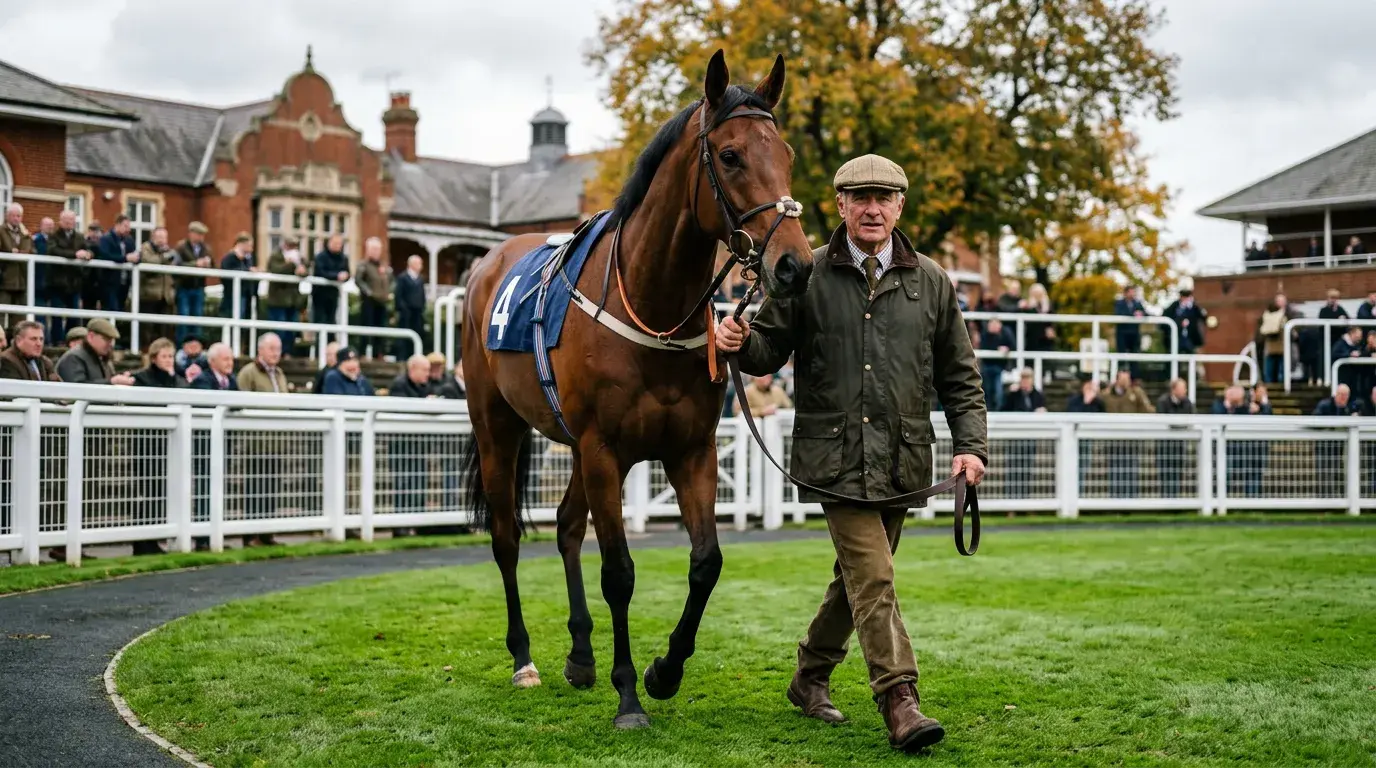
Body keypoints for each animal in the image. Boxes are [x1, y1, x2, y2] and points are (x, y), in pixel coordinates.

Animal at [460, 50, 814, 729]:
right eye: (730, 155)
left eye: (784, 152)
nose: (794, 265)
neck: (654, 305)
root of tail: (487, 263)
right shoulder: (605, 450)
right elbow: (619, 572)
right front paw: (628, 694)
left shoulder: (690, 451)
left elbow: (706, 562)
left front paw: (664, 671)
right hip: (499, 427)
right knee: (507, 537)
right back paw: (524, 659)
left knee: (567, 526)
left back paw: (580, 655)